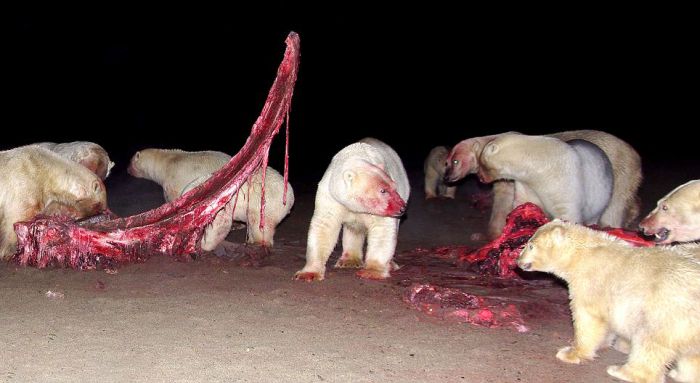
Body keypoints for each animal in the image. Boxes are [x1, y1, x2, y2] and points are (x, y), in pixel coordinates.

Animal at [127, 148, 294, 250]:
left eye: (130, 161)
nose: (127, 170)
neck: (167, 161)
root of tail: (290, 197)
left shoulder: (174, 180)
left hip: (265, 202)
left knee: (259, 221)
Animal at [294, 138, 410, 282]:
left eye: (394, 187)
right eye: (383, 190)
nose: (402, 208)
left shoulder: (380, 209)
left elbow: (382, 229)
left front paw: (371, 272)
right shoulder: (331, 195)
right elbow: (324, 227)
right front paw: (308, 273)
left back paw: (391, 264)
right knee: (354, 229)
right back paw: (349, 260)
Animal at [476, 134, 612, 225]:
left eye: (481, 164)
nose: (480, 178)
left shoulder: (565, 180)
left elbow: (568, 212)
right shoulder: (527, 183)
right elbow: (526, 201)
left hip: (603, 195)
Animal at [516, 219, 700, 383]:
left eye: (530, 245)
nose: (518, 261)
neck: (581, 256)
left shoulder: (591, 284)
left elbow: (587, 319)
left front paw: (571, 352)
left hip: (665, 313)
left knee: (648, 343)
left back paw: (621, 371)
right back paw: (680, 374)